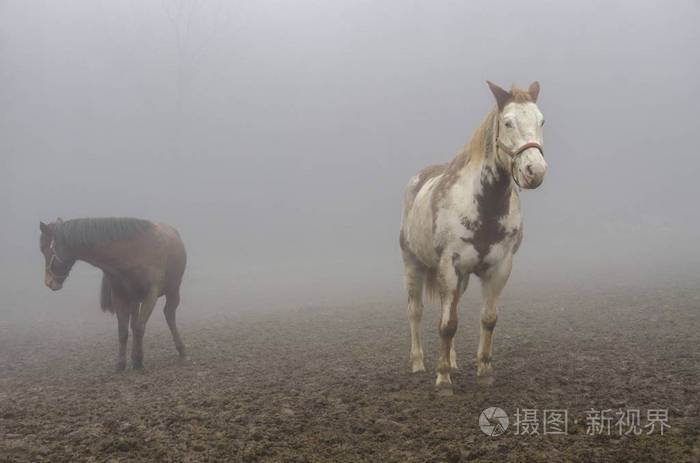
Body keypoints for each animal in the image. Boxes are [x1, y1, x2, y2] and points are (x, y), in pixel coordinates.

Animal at [39, 218, 187, 374]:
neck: (132, 253)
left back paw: (181, 350)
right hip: (134, 300)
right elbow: (123, 332)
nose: (48, 282)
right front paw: (121, 364)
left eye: (44, 249)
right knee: (135, 323)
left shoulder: (150, 296)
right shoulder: (120, 297)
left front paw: (139, 361)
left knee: (169, 315)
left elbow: (140, 328)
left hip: (173, 290)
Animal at [400, 81, 548, 394]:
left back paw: (453, 361)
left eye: (541, 121)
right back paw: (418, 364)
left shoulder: (499, 268)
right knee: (415, 311)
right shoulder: (449, 267)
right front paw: (443, 379)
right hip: (413, 266)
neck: (483, 207)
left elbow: (487, 319)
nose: (536, 171)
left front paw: (484, 372)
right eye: (508, 122)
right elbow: (446, 324)